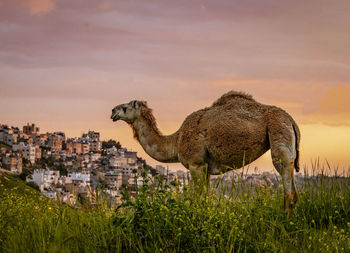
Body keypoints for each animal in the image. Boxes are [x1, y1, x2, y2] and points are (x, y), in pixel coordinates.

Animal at [110, 91, 300, 215]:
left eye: (125, 107)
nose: (112, 111)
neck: (176, 141)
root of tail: (291, 120)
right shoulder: (206, 167)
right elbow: (205, 198)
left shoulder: (196, 164)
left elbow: (198, 199)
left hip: (278, 133)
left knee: (287, 184)